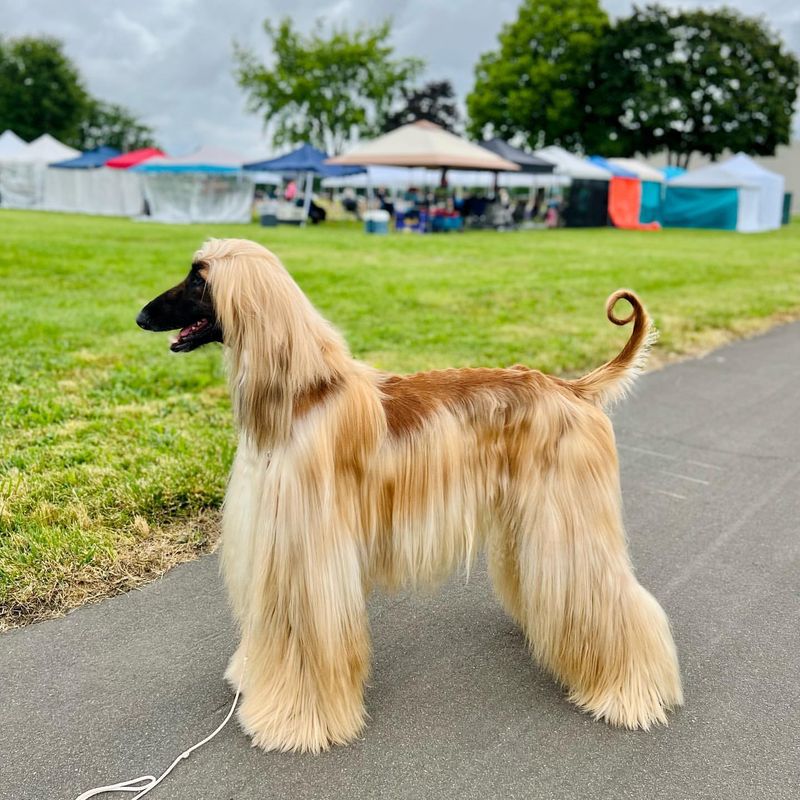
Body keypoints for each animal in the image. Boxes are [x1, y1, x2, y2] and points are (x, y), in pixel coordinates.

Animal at [136, 241, 680, 752]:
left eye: (197, 279)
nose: (141, 316)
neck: (301, 395)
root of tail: (573, 389)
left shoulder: (308, 549)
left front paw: (294, 721)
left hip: (570, 516)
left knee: (616, 598)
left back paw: (627, 693)